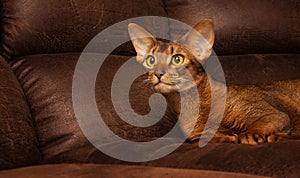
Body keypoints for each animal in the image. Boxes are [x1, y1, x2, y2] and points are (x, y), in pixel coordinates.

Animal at [127, 18, 300, 144]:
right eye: (151, 60)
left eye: (177, 59)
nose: (158, 73)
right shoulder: (198, 135)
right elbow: (211, 137)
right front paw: (231, 136)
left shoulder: (273, 114)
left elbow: (258, 125)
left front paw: (249, 135)